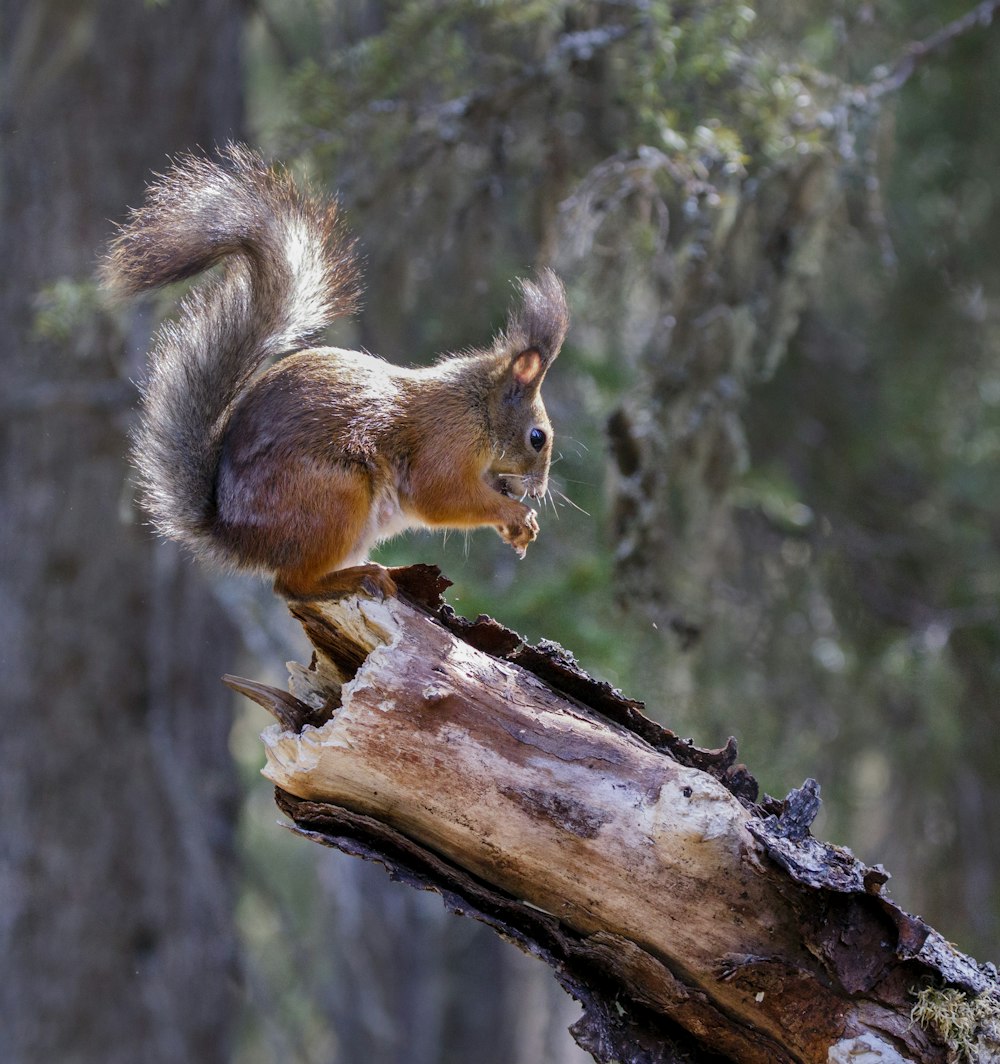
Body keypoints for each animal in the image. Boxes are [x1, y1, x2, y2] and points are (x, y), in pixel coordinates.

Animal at [105, 143, 570, 600]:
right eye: (537, 437)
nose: (539, 489)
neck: (477, 406)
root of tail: (237, 535)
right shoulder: (445, 441)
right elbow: (439, 495)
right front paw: (517, 514)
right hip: (336, 497)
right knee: (291, 585)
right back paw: (357, 576)